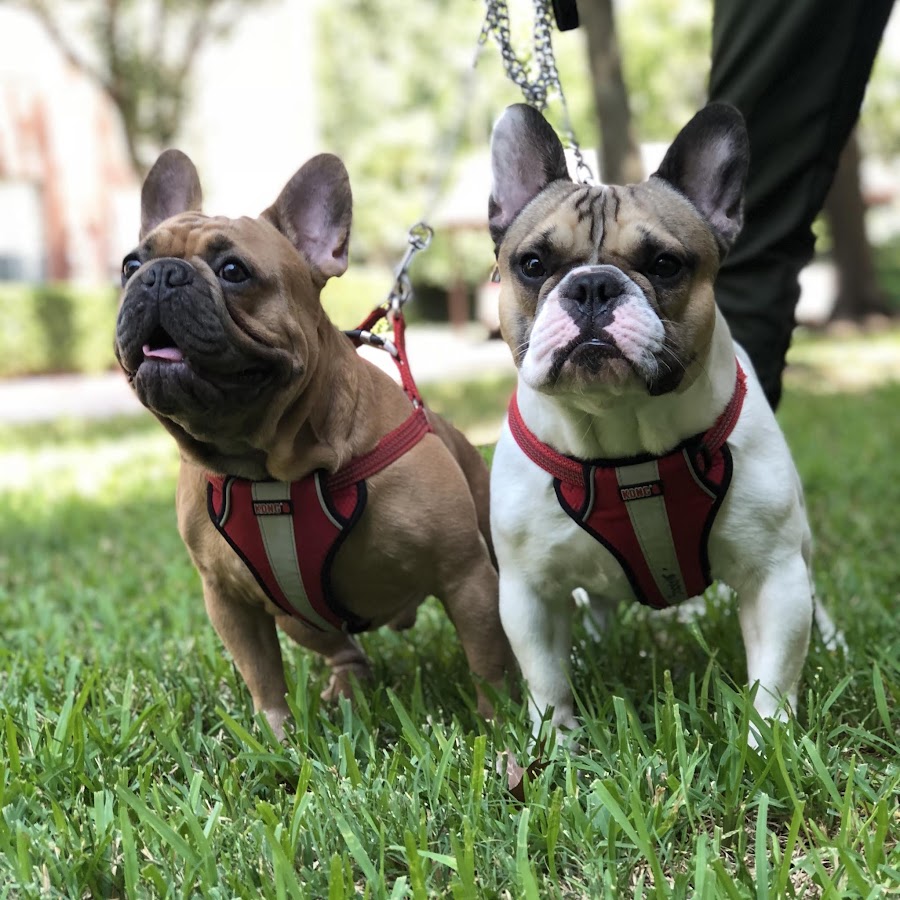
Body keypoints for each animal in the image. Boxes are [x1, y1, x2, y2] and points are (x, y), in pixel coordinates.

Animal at [115, 150, 512, 738]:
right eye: (128, 264)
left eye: (233, 272)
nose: (159, 275)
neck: (269, 467)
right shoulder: (229, 602)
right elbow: (262, 676)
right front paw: (278, 737)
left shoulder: (465, 574)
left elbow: (487, 662)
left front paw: (500, 729)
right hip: (295, 616)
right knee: (343, 649)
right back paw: (346, 690)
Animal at [487, 102, 840, 744]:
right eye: (532, 264)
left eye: (665, 264)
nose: (592, 285)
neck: (624, 440)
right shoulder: (529, 594)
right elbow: (546, 681)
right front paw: (556, 745)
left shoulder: (773, 577)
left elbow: (774, 677)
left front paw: (767, 746)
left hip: (797, 548)